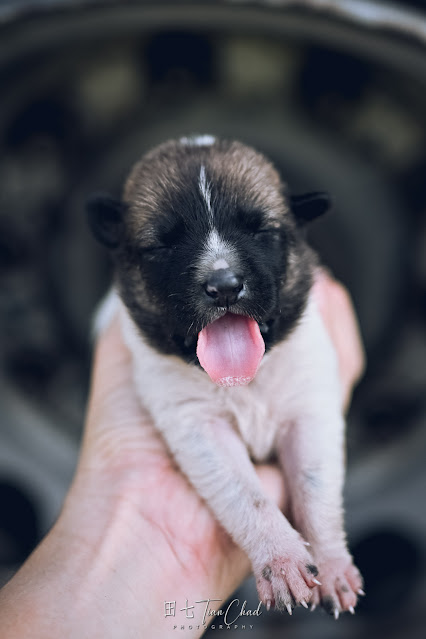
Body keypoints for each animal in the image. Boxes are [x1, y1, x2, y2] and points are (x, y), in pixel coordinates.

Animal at [87, 136, 362, 620]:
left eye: (261, 231)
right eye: (161, 246)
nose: (225, 286)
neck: (246, 381)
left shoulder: (311, 410)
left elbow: (317, 490)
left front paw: (332, 564)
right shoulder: (199, 428)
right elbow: (246, 495)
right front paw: (282, 560)